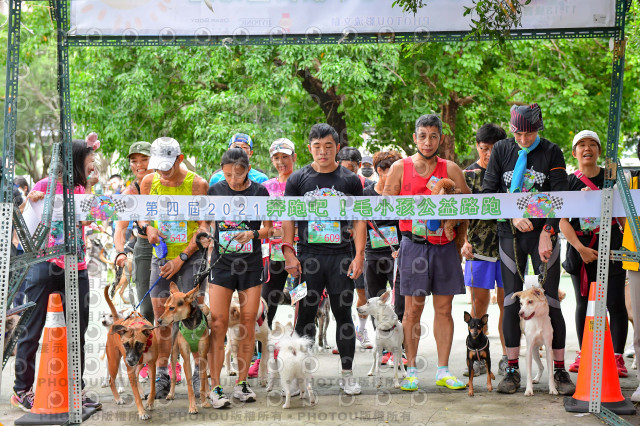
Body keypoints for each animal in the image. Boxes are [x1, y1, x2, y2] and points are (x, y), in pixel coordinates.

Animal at [105, 284, 159, 422]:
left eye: (139, 344)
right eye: (125, 345)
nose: (129, 360)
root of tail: (117, 321)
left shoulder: (152, 364)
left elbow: (152, 386)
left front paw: (150, 402)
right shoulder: (130, 368)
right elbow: (136, 395)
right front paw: (142, 412)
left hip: (139, 363)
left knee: (136, 374)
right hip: (114, 362)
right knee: (111, 381)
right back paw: (118, 399)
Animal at [156, 282, 214, 412]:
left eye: (171, 308)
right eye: (165, 306)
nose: (159, 321)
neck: (191, 324)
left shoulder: (203, 355)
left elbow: (202, 381)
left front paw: (204, 401)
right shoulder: (186, 358)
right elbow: (189, 386)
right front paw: (192, 406)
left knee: (204, 376)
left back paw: (208, 392)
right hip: (174, 353)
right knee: (173, 376)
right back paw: (171, 394)